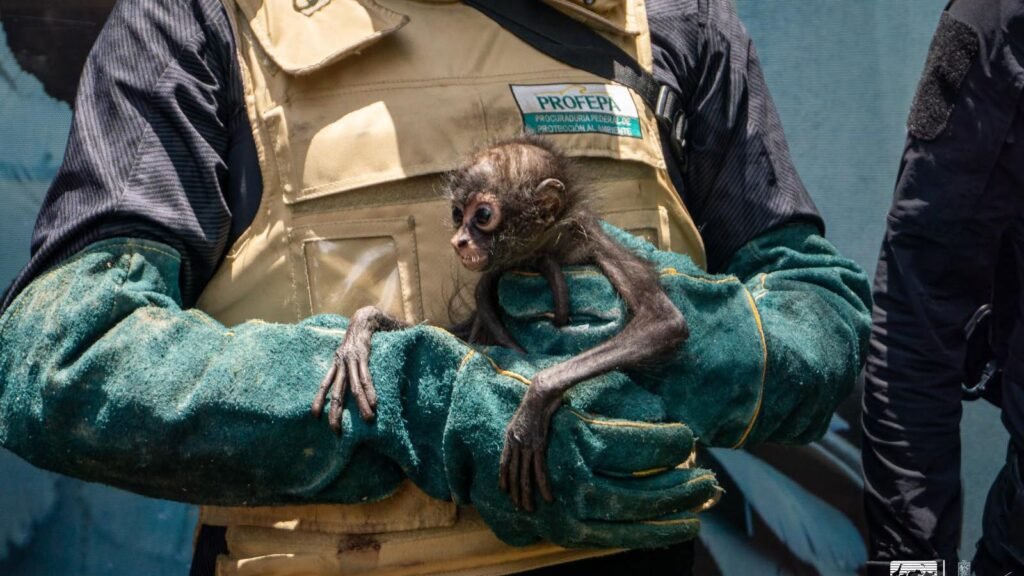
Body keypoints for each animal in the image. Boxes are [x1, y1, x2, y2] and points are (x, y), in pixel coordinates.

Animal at [311, 136, 689, 511]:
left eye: (482, 216)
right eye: (457, 214)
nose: (459, 240)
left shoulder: (594, 242)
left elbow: (664, 322)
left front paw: (533, 407)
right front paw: (359, 333)